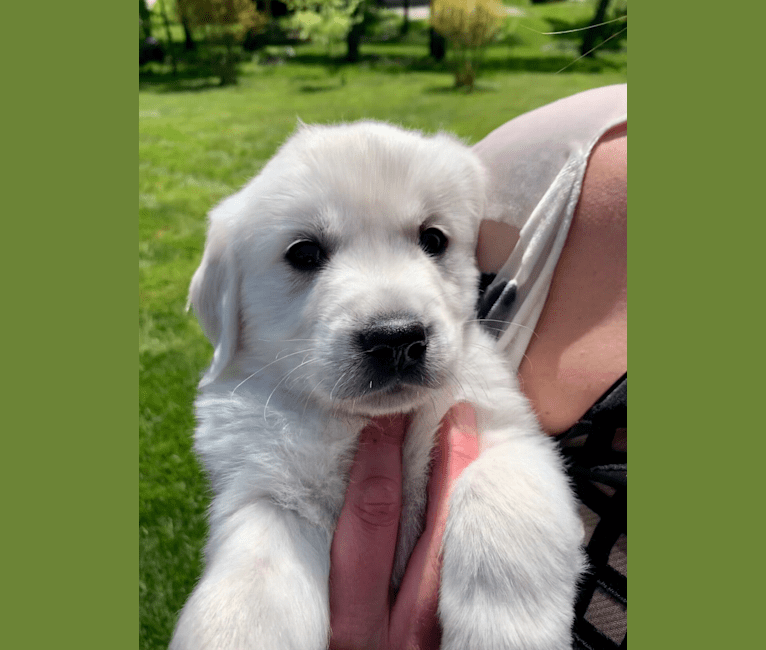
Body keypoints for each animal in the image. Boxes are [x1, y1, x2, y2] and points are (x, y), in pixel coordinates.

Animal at [171, 121, 584, 648]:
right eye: (304, 253)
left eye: (433, 238)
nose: (396, 338)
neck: (361, 421)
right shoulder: (268, 492)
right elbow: (248, 589)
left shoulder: (504, 430)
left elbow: (496, 495)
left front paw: (502, 632)